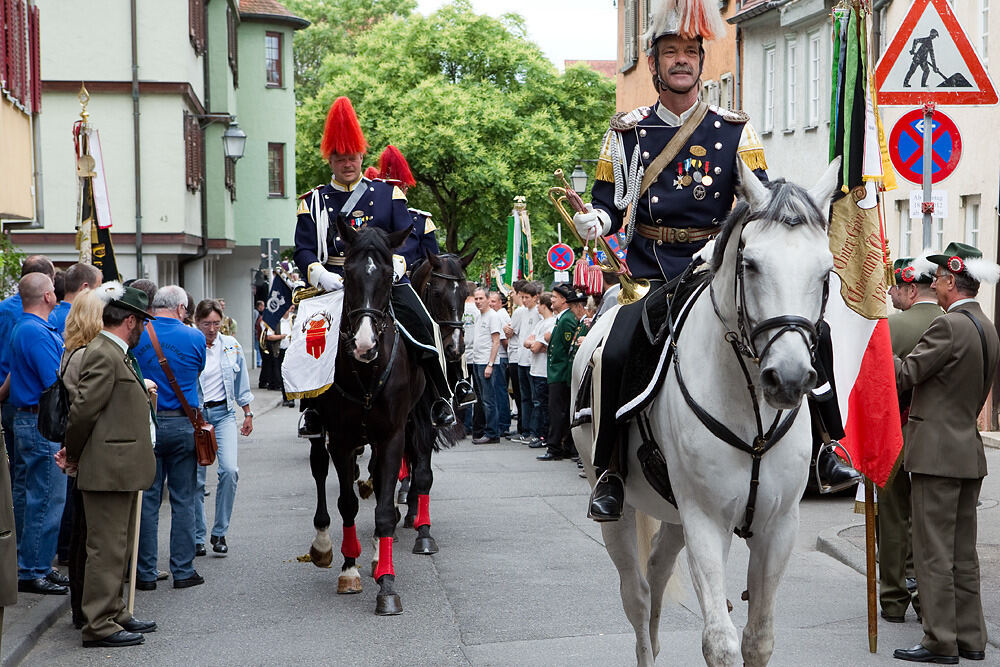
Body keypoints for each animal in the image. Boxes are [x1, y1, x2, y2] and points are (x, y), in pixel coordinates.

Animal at [302, 218, 416, 616]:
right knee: (320, 472)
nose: (364, 345)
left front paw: (387, 582)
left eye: (387, 275)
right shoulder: (342, 437)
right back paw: (323, 544)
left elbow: (383, 507)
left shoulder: (392, 436)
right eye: (347, 275)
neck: (366, 373)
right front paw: (349, 569)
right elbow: (347, 503)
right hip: (321, 432)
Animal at [396, 250, 478, 552]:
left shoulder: (428, 419)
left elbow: (423, 473)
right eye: (436, 291)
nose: (455, 349)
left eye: (466, 292)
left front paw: (421, 527)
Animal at [572, 159, 844, 664]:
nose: (789, 379)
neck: (751, 413)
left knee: (658, 569)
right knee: (637, 595)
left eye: (827, 272)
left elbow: (759, 638)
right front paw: (589, 218)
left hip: (674, 512)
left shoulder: (779, 526)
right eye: (751, 265)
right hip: (621, 509)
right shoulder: (705, 520)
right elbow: (720, 641)